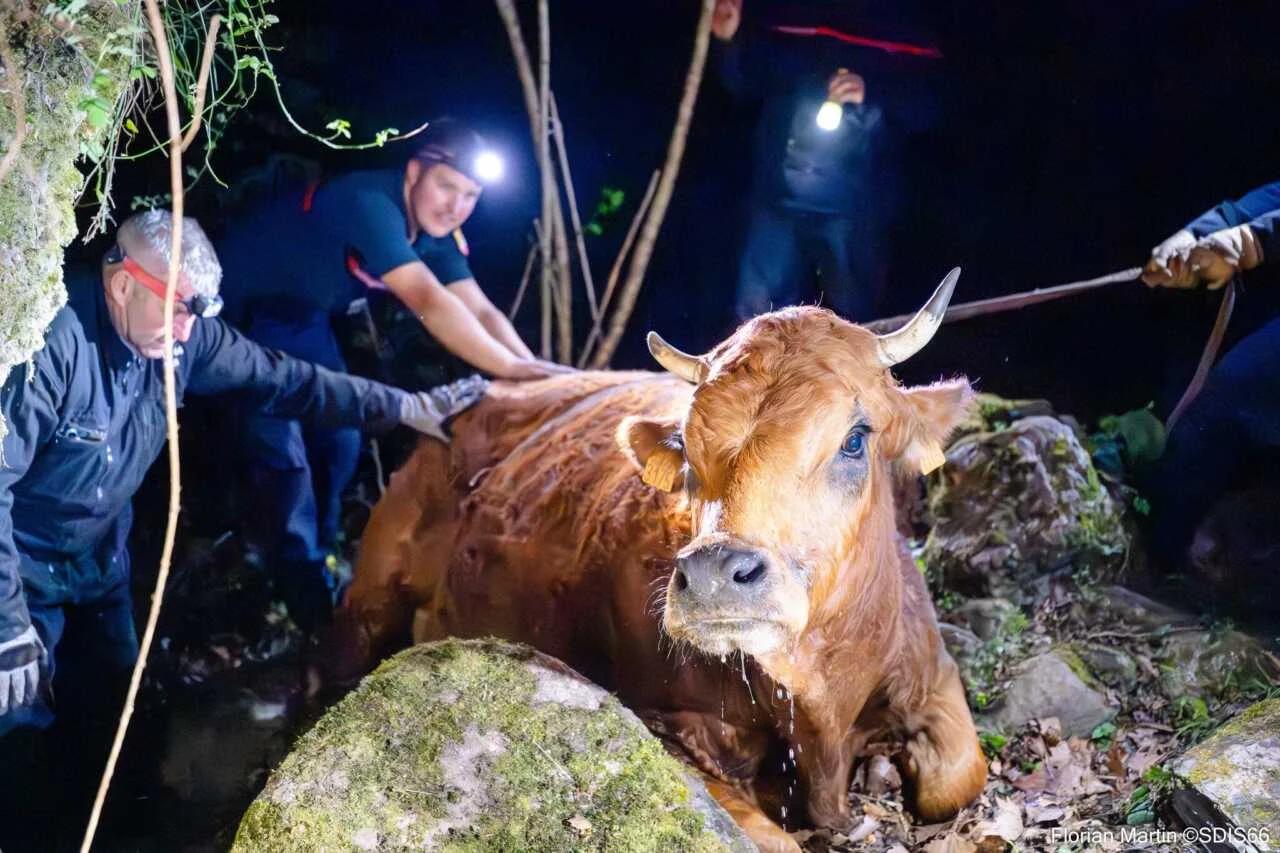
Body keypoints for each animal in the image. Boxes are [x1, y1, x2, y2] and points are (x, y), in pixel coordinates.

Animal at [326, 269, 988, 851]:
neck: (818, 707)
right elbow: (774, 841)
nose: (717, 574)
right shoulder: (655, 718)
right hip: (369, 593)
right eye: (687, 453)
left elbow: (960, 776)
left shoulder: (934, 674)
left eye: (854, 439)